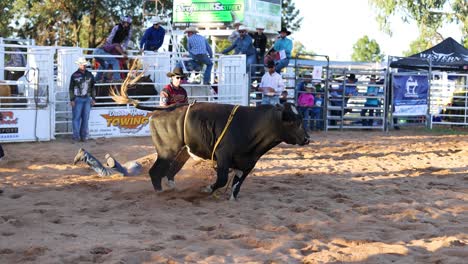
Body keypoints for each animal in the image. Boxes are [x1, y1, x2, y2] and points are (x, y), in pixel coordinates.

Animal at [132, 101, 308, 200]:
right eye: (291, 120)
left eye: (301, 119)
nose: (307, 138)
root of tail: (163, 109)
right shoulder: (223, 156)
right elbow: (222, 179)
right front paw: (206, 189)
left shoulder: (249, 163)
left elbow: (237, 185)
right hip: (166, 151)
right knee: (155, 172)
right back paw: (160, 194)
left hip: (182, 152)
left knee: (170, 171)